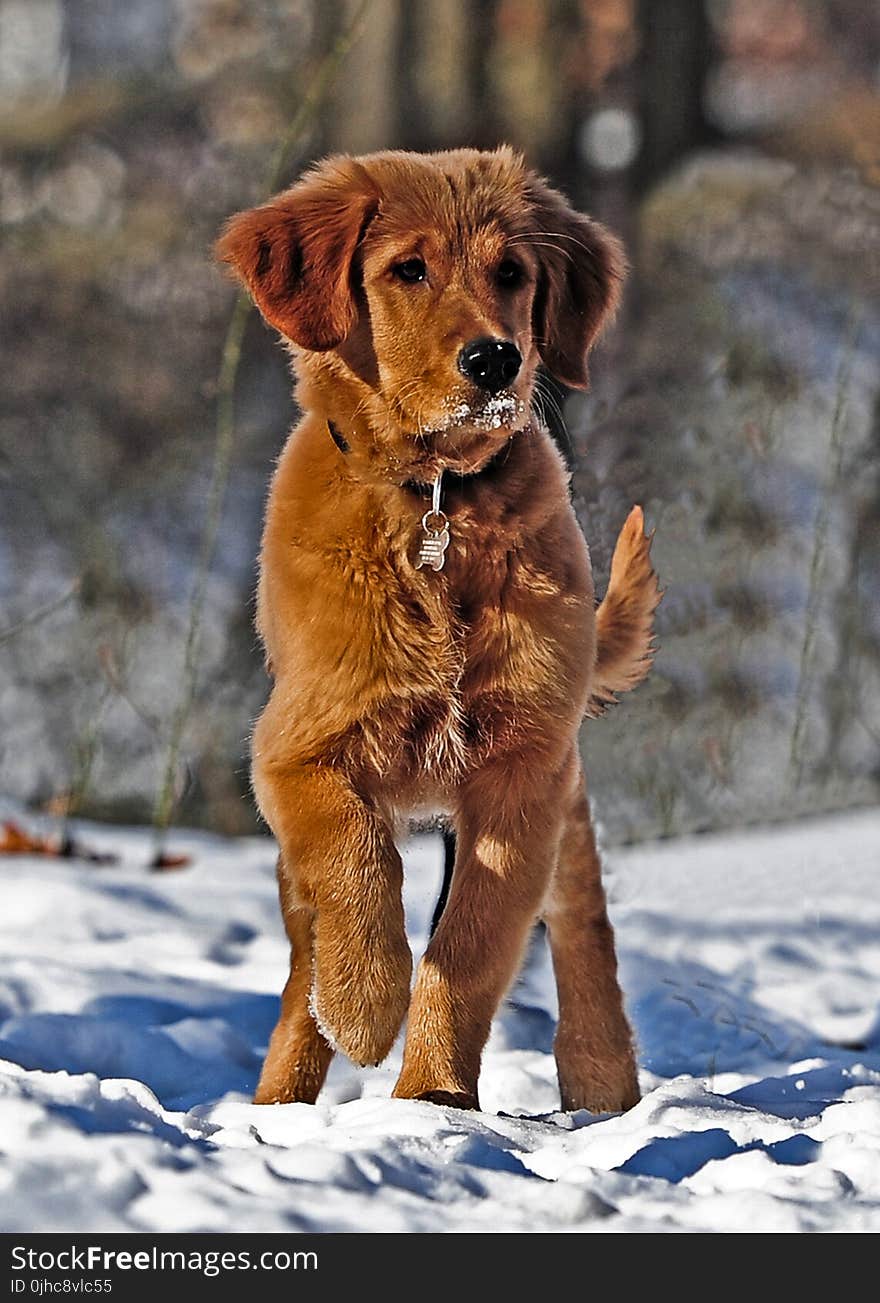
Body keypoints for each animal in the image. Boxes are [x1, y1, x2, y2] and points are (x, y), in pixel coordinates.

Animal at [219, 149, 662, 1110]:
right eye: (408, 270)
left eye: (513, 273)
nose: (496, 358)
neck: (437, 506)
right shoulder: (296, 749)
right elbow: (356, 863)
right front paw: (363, 1004)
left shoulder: (525, 767)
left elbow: (469, 947)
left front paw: (432, 1096)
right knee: (302, 958)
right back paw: (284, 1090)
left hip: (565, 797)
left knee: (582, 924)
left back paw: (603, 1083)